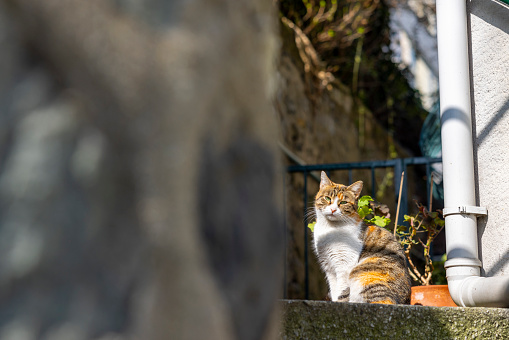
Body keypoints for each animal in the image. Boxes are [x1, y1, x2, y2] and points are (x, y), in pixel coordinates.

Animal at [310, 171, 412, 304]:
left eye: (343, 203)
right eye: (327, 198)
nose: (333, 209)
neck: (329, 228)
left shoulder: (344, 265)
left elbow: (342, 292)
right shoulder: (329, 267)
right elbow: (334, 291)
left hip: (365, 274)